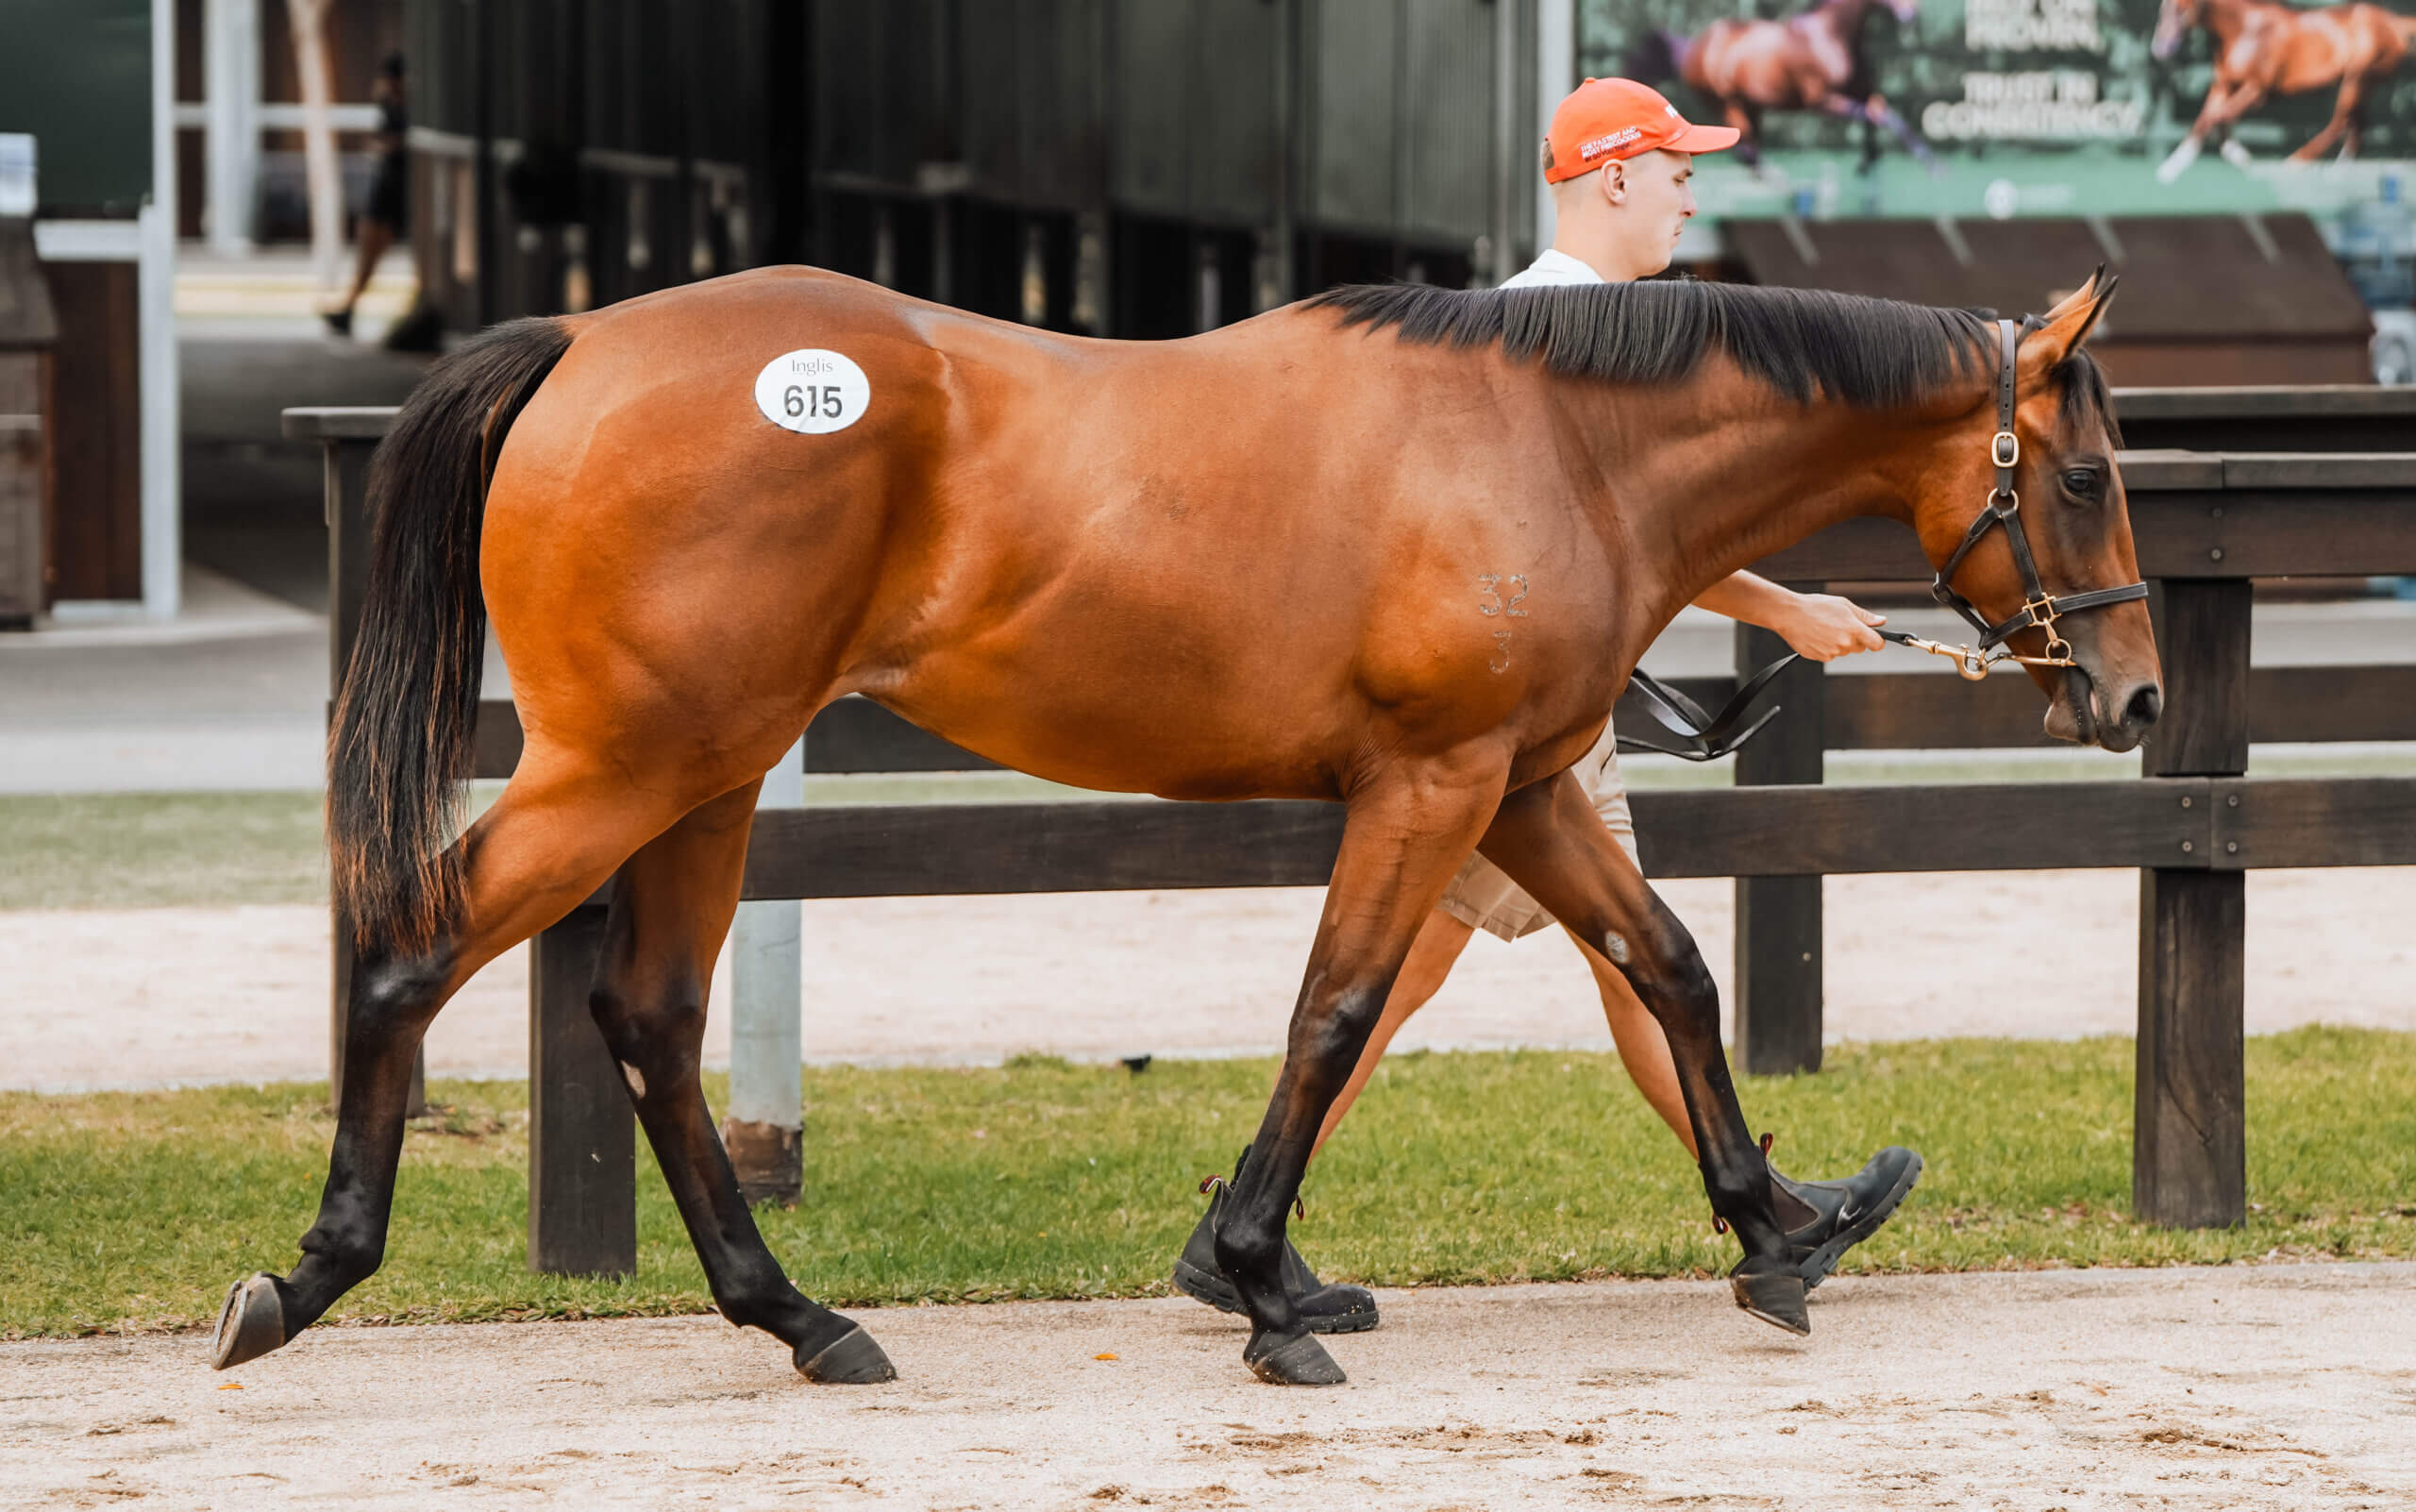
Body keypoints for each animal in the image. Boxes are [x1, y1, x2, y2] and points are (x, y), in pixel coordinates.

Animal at [217, 264, 2164, 1381]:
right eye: (2082, 474)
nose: (2137, 697)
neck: (1554, 439)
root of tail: (580, 343)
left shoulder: (1527, 783)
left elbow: (1668, 969)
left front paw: (1782, 1225)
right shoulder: (1436, 783)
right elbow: (1337, 1009)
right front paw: (1263, 1290)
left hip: (711, 778)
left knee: (649, 1015)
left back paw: (800, 1315)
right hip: (631, 768)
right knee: (409, 953)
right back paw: (308, 1276)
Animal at [1623, 0, 1942, 172]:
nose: (1911, 14)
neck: (1831, 34)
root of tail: (1694, 48)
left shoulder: (1865, 92)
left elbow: (1884, 117)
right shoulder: (1821, 100)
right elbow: (1879, 118)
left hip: (1751, 107)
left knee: (1749, 152)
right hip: (1727, 103)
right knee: (1748, 153)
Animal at [2155, 0, 2416, 179]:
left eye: (2183, 10)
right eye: (2164, 8)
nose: (2159, 49)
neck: (2245, 30)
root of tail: (2394, 23)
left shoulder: (2258, 91)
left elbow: (2214, 117)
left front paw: (2171, 168)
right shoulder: (2223, 86)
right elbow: (2211, 118)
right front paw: (2237, 154)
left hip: (2356, 79)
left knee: (2341, 122)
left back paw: (2298, 161)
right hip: (2363, 84)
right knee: (2357, 125)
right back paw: (2339, 170)